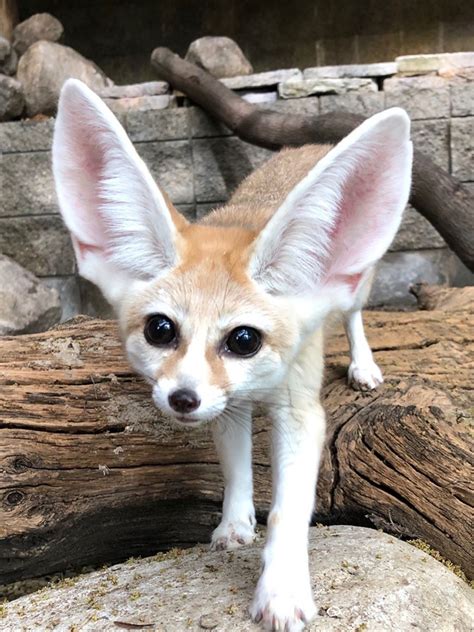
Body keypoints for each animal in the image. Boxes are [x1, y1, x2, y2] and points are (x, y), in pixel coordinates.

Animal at [53, 79, 412, 632]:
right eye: (160, 330)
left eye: (244, 340)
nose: (183, 399)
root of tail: (310, 145)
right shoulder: (228, 406)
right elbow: (235, 469)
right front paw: (234, 524)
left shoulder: (299, 409)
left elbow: (289, 508)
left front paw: (282, 589)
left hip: (355, 287)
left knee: (353, 316)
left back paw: (363, 365)